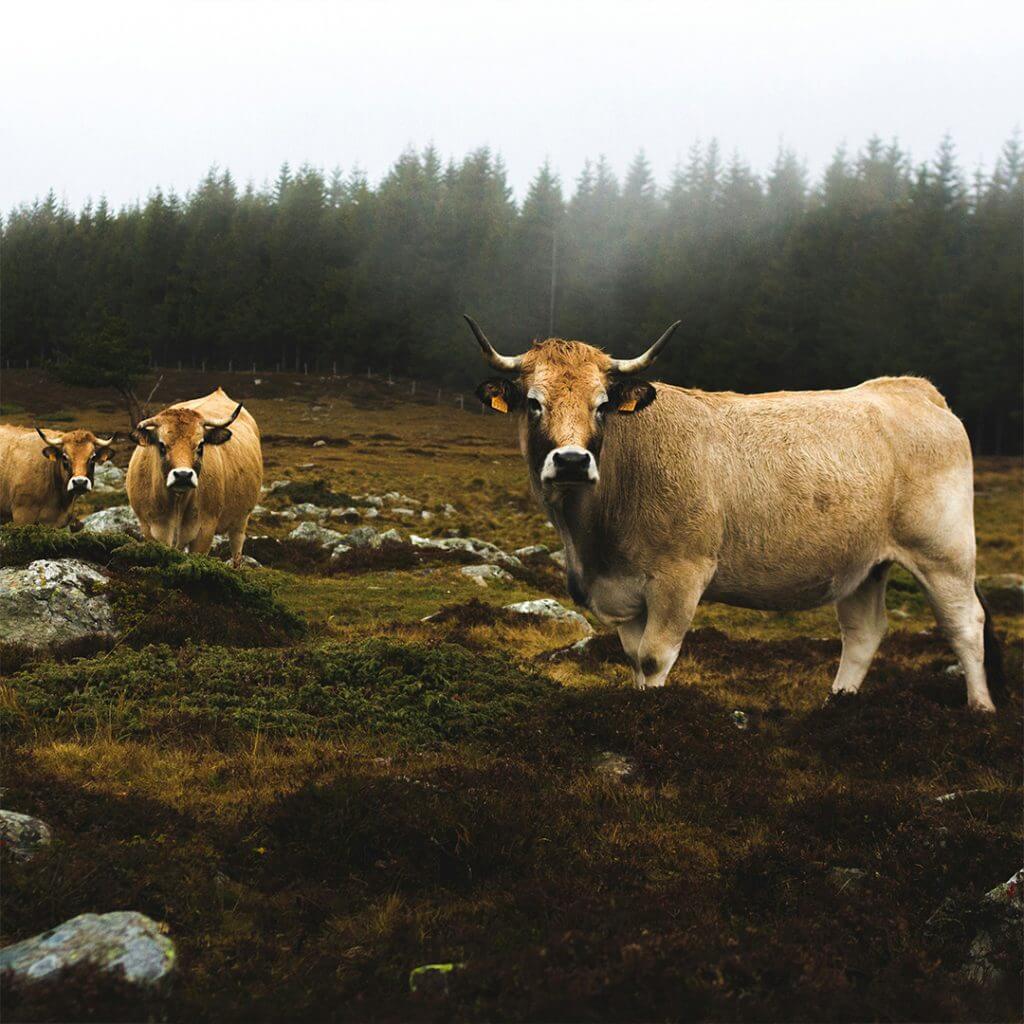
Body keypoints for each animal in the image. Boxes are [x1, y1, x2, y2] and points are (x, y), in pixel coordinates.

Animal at [126, 387, 262, 567]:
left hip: (241, 520)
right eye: (162, 445)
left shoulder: (204, 530)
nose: (183, 475)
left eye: (201, 445)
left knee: (237, 551)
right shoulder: (150, 528)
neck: (176, 502)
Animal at [464, 316, 1003, 713]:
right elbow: (634, 659)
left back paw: (980, 710)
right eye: (534, 403)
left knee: (965, 624)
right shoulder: (624, 590)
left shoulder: (680, 576)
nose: (573, 461)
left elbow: (654, 658)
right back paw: (838, 707)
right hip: (863, 563)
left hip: (944, 553)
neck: (590, 537)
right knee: (863, 633)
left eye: (601, 406)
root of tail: (911, 389)